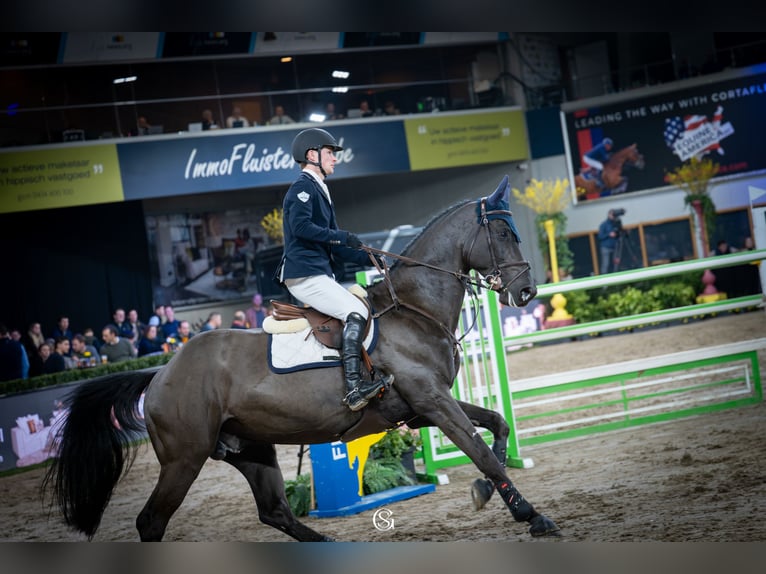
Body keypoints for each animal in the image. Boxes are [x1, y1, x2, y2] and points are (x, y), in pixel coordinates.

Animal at [43, 175, 561, 541]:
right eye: (502, 232)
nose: (526, 292)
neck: (414, 310)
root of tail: (160, 371)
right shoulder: (431, 401)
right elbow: (481, 453)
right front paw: (531, 515)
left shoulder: (423, 408)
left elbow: (497, 426)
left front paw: (487, 493)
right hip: (184, 458)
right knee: (151, 522)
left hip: (250, 449)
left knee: (275, 511)